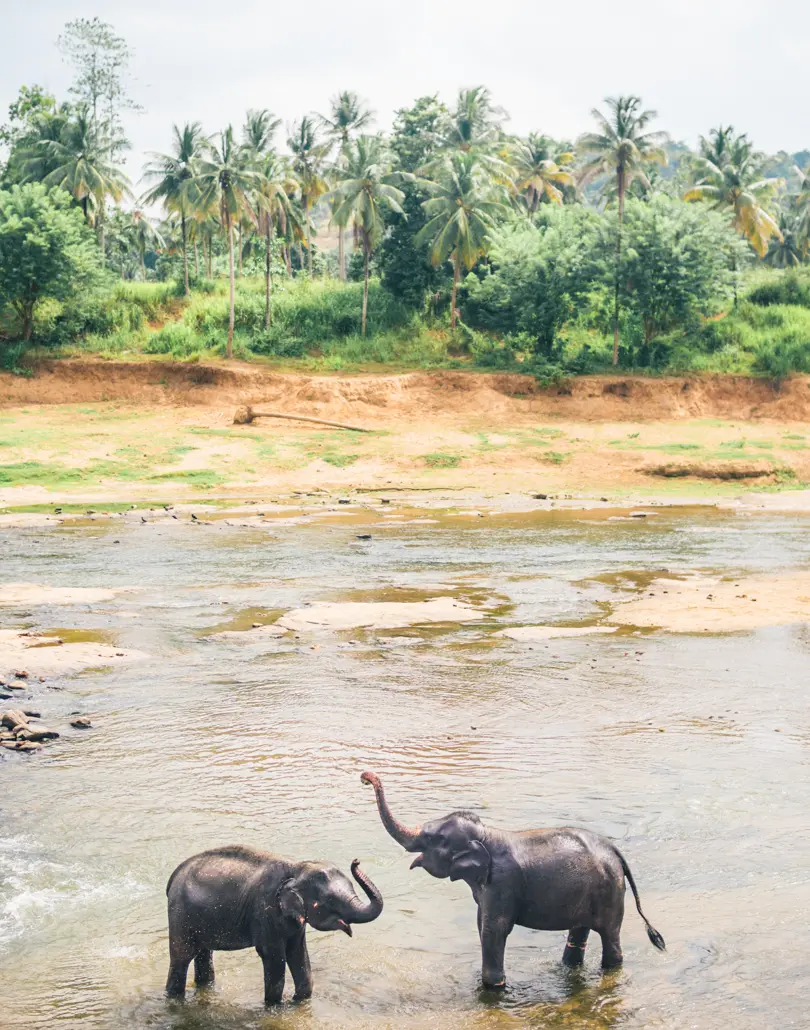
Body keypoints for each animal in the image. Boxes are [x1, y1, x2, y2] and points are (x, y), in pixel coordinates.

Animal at [165, 845, 383, 1005]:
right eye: (329, 901)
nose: (356, 861)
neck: (296, 867)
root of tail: (174, 875)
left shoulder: (294, 921)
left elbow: (298, 953)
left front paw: (299, 1001)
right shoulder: (265, 911)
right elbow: (274, 957)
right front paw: (274, 1005)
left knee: (203, 954)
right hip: (180, 914)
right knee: (181, 957)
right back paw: (174, 997)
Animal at [361, 771, 664, 988]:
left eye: (435, 839)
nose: (364, 778)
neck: (488, 834)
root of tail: (615, 851)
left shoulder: (502, 884)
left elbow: (494, 929)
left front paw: (493, 986)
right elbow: (481, 924)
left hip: (610, 890)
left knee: (610, 935)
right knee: (580, 931)